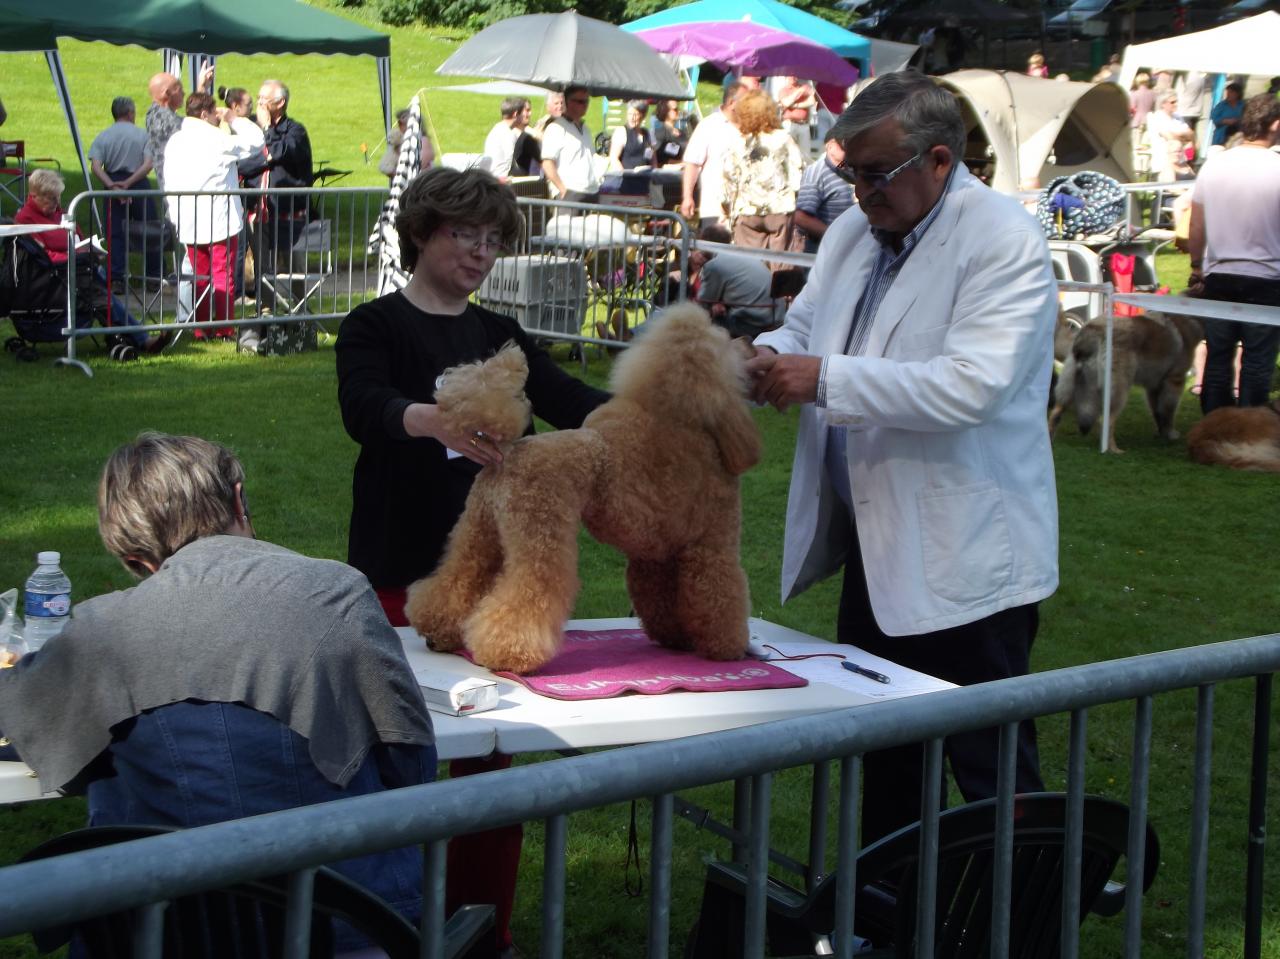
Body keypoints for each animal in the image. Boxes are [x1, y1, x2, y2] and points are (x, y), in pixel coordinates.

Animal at [404, 303, 757, 670]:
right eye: (726, 340)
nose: (751, 343)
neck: (693, 424)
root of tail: (507, 453)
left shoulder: (655, 555)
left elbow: (658, 596)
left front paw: (676, 638)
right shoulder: (712, 543)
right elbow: (720, 592)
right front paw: (726, 647)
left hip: (479, 529)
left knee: (456, 579)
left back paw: (436, 629)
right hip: (540, 532)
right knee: (528, 593)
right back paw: (509, 652)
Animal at [1049, 311, 1198, 453]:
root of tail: (1091, 332)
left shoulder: (1154, 387)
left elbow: (1157, 412)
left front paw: (1161, 433)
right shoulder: (1175, 381)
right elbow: (1168, 412)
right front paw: (1170, 434)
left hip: (1069, 385)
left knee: (1055, 413)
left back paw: (1050, 440)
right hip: (1120, 390)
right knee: (1105, 421)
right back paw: (1113, 450)